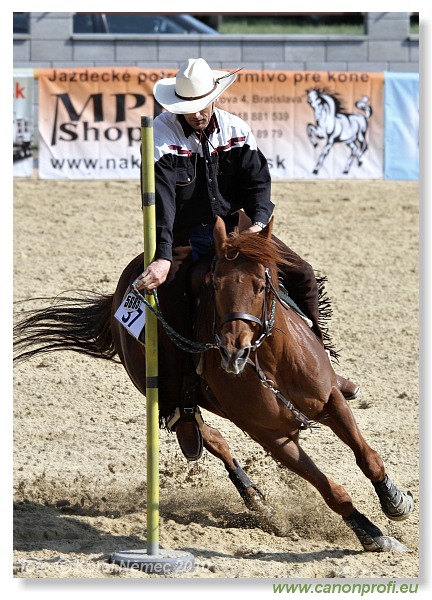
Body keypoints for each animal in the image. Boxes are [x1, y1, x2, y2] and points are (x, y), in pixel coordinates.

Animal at [12, 218, 412, 552]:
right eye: (215, 285)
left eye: (261, 284)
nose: (234, 351)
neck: (272, 361)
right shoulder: (273, 438)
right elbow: (331, 490)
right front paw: (373, 535)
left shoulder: (330, 400)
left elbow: (367, 456)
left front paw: (394, 500)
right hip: (166, 394)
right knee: (205, 434)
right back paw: (253, 497)